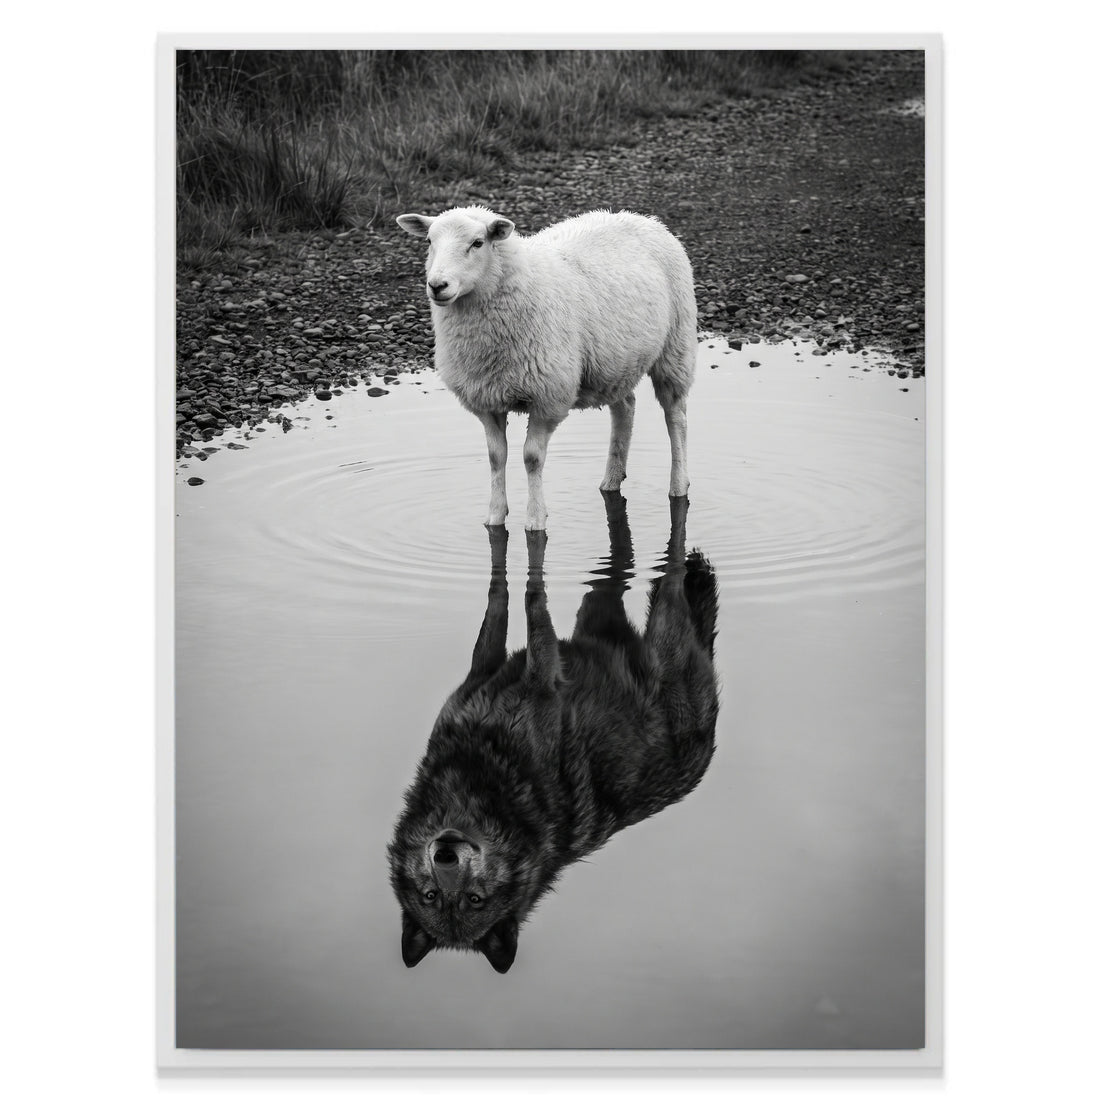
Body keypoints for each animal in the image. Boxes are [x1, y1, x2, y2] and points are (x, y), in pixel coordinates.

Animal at [388, 494, 719, 973]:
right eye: (432, 896)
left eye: (474, 899)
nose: (446, 852)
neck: (478, 775)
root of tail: (708, 748)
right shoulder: (486, 673)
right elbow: (500, 600)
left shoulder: (540, 674)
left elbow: (527, 600)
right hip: (595, 606)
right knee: (623, 569)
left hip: (661, 613)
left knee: (671, 563)